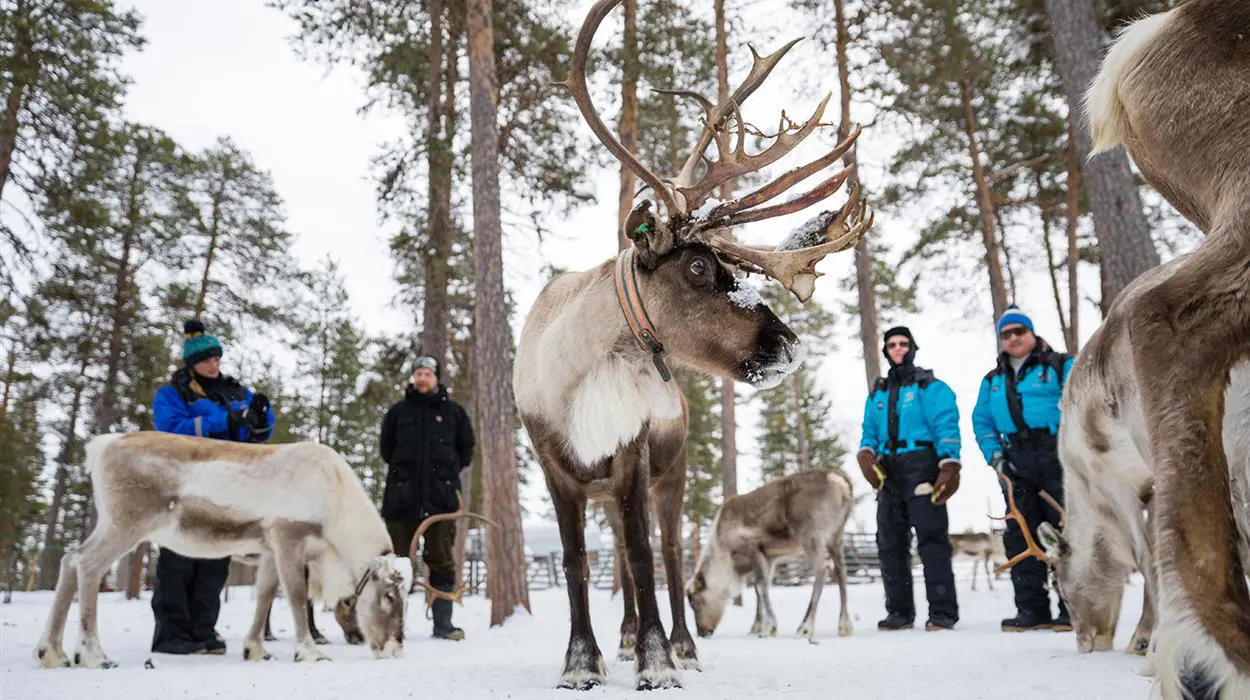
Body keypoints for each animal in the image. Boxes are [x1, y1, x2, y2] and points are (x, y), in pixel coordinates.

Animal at [33, 431, 410, 669]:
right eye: (390, 596)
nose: (394, 649)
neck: (336, 507)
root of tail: (101, 447)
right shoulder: (288, 536)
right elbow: (296, 596)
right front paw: (309, 652)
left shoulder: (268, 548)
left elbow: (265, 594)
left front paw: (255, 649)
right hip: (128, 523)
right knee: (88, 564)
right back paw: (92, 655)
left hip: (109, 522)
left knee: (70, 558)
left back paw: (52, 652)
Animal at [686, 469, 855, 642]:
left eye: (696, 603)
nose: (702, 633)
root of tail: (838, 480)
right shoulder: (769, 558)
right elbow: (761, 587)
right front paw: (757, 626)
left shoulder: (753, 549)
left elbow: (760, 586)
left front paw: (769, 628)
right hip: (836, 536)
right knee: (841, 570)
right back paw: (844, 626)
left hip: (810, 535)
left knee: (822, 570)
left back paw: (805, 627)